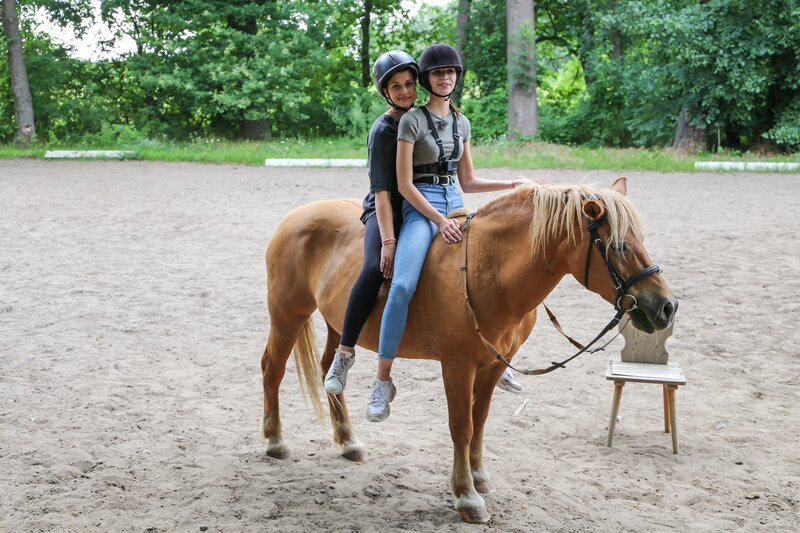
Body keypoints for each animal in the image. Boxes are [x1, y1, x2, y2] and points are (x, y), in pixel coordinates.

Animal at [260, 177, 677, 523]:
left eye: (641, 239)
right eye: (618, 246)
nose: (666, 307)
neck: (488, 269)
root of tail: (293, 218)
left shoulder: (492, 365)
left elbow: (481, 419)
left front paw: (478, 476)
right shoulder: (458, 366)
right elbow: (461, 424)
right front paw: (466, 496)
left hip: (338, 322)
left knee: (330, 369)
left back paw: (348, 441)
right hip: (288, 314)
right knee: (272, 369)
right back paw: (275, 441)